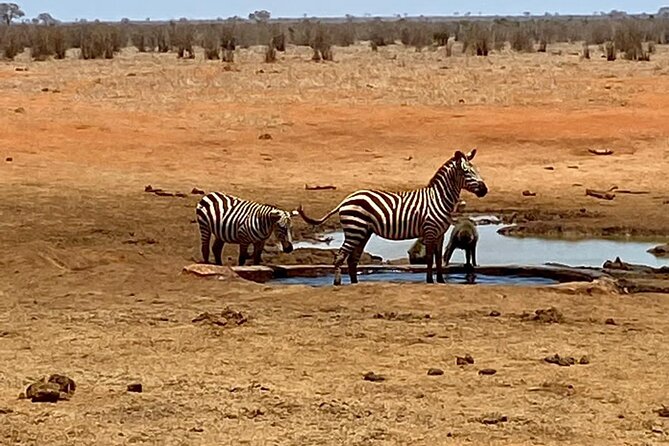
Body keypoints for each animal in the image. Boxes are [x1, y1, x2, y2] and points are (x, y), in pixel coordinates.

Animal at [296, 148, 486, 284]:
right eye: (467, 172)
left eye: (476, 170)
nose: (485, 190)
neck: (438, 198)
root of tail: (346, 200)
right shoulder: (430, 230)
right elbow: (430, 259)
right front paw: (430, 281)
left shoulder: (440, 234)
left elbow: (439, 259)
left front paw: (440, 281)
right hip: (355, 230)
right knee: (340, 257)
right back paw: (337, 284)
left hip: (362, 232)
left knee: (352, 260)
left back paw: (355, 283)